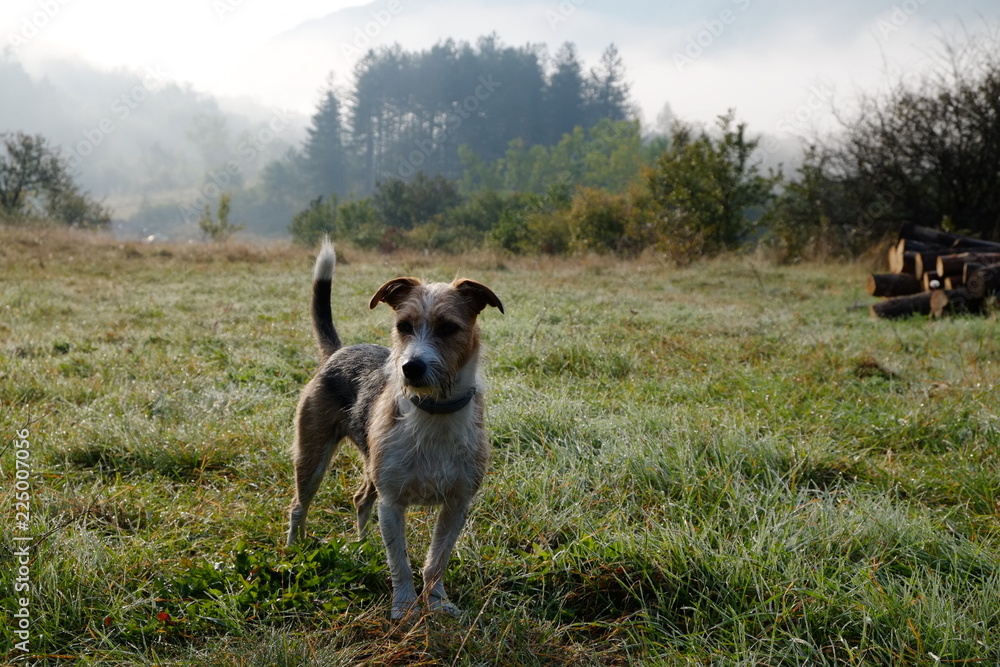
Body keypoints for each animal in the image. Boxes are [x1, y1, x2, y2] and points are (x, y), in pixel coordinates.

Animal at [286, 240, 504, 620]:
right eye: (403, 326)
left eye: (448, 328)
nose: (410, 367)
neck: (433, 411)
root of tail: (339, 351)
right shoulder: (392, 504)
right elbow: (399, 562)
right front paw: (404, 606)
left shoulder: (457, 504)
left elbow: (436, 561)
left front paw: (437, 602)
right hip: (311, 458)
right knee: (299, 506)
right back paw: (293, 552)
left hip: (372, 465)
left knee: (360, 499)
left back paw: (363, 547)